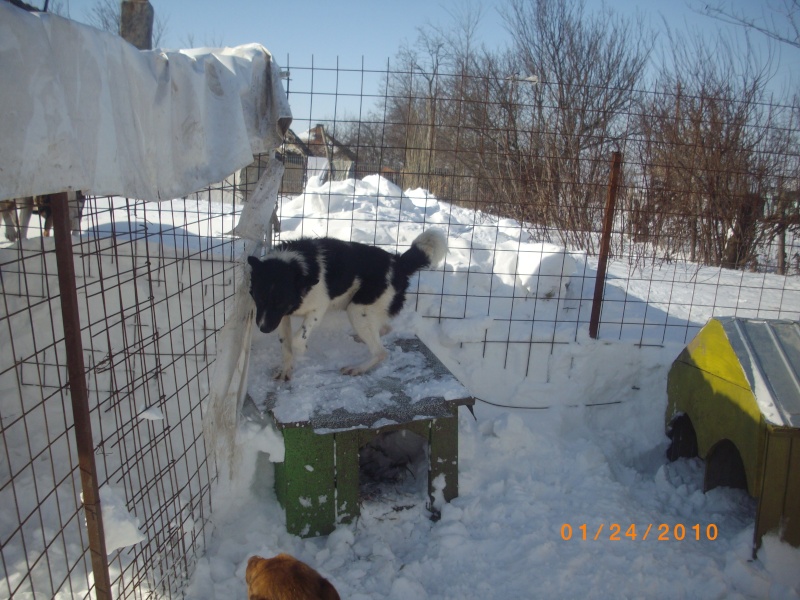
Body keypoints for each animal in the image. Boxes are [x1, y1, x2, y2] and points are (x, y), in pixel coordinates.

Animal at [248, 230, 446, 380]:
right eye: (257, 297)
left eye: (280, 301)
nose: (263, 328)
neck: (297, 265)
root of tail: (398, 263)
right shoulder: (281, 317)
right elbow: (286, 345)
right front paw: (285, 370)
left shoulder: (317, 309)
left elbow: (297, 340)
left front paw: (302, 349)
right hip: (367, 312)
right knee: (385, 328)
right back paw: (363, 339)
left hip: (357, 309)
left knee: (381, 352)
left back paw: (357, 368)